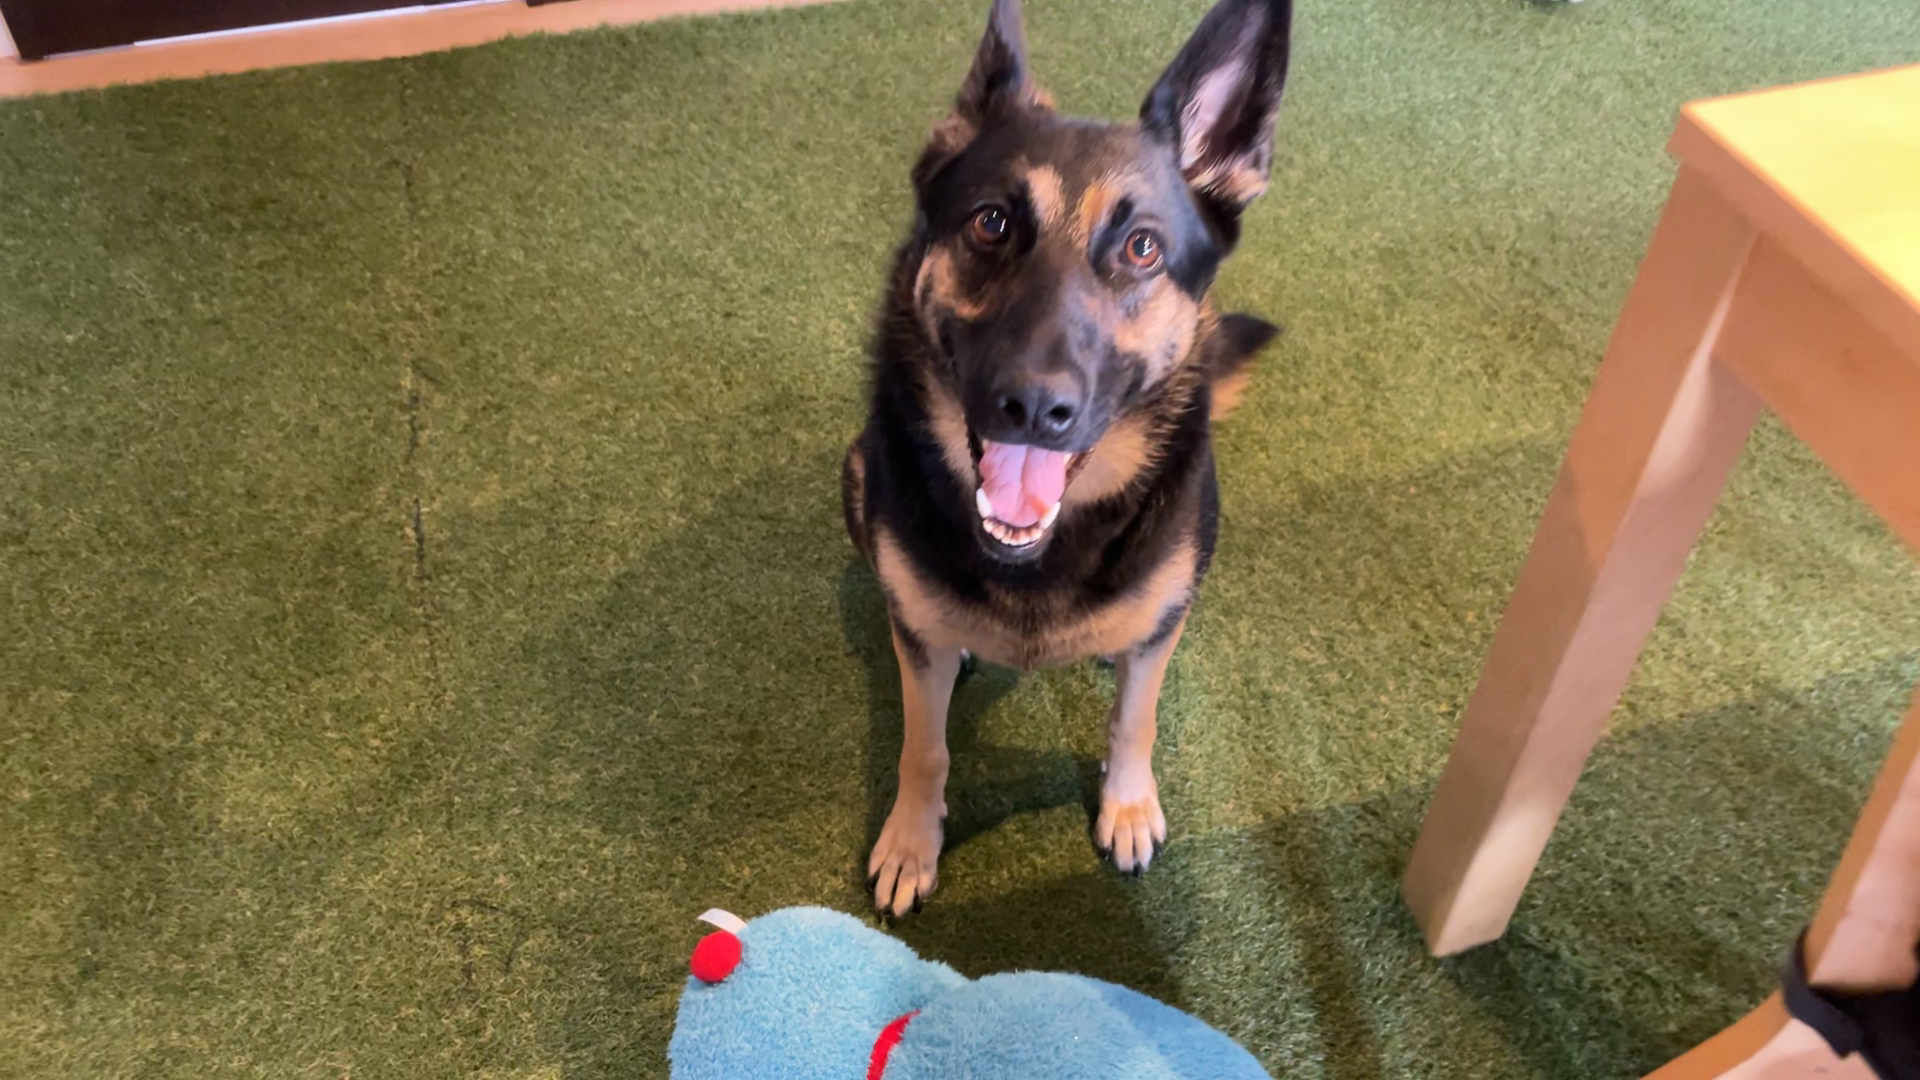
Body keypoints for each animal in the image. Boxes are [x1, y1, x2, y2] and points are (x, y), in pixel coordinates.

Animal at [842, 0, 1292, 916]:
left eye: (1143, 248)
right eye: (990, 223)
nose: (1033, 406)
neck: (1040, 554)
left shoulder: (1158, 633)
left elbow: (1135, 717)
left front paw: (1127, 803)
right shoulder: (915, 643)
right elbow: (923, 744)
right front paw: (911, 839)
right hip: (855, 477)